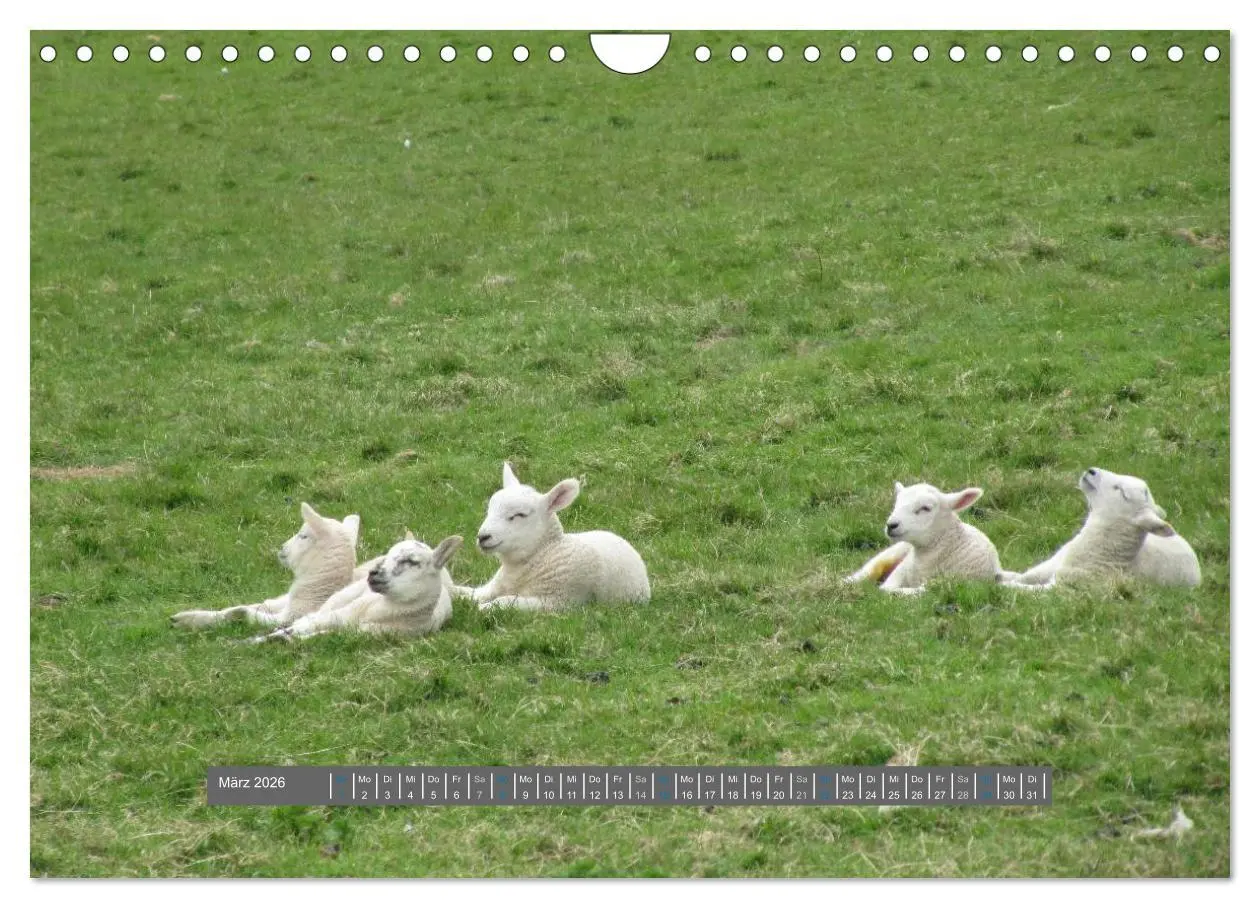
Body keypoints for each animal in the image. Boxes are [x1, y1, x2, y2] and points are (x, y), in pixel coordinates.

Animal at [170, 502, 358, 629]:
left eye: (303, 536)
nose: (282, 547)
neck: (317, 592)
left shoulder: (287, 618)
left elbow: (247, 614)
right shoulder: (281, 604)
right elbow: (254, 605)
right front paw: (186, 617)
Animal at [255, 535, 463, 641]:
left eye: (411, 561)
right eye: (388, 555)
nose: (374, 573)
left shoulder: (359, 632)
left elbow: (314, 633)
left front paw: (288, 638)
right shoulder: (342, 613)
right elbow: (308, 623)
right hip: (343, 597)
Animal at [450, 462, 651, 611]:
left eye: (520, 515)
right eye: (489, 509)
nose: (483, 537)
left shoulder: (556, 601)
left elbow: (505, 601)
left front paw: (483, 609)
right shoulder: (491, 587)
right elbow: (467, 592)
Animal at [845, 482, 1001, 594]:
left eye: (926, 508)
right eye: (896, 505)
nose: (891, 525)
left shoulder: (943, 584)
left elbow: (905, 591)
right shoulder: (901, 570)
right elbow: (888, 587)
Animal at [1000, 467, 1201, 588]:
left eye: (1121, 492)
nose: (1091, 471)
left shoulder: (1066, 589)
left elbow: (1026, 590)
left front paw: (1003, 588)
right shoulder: (1051, 568)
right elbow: (1022, 577)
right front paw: (1002, 578)